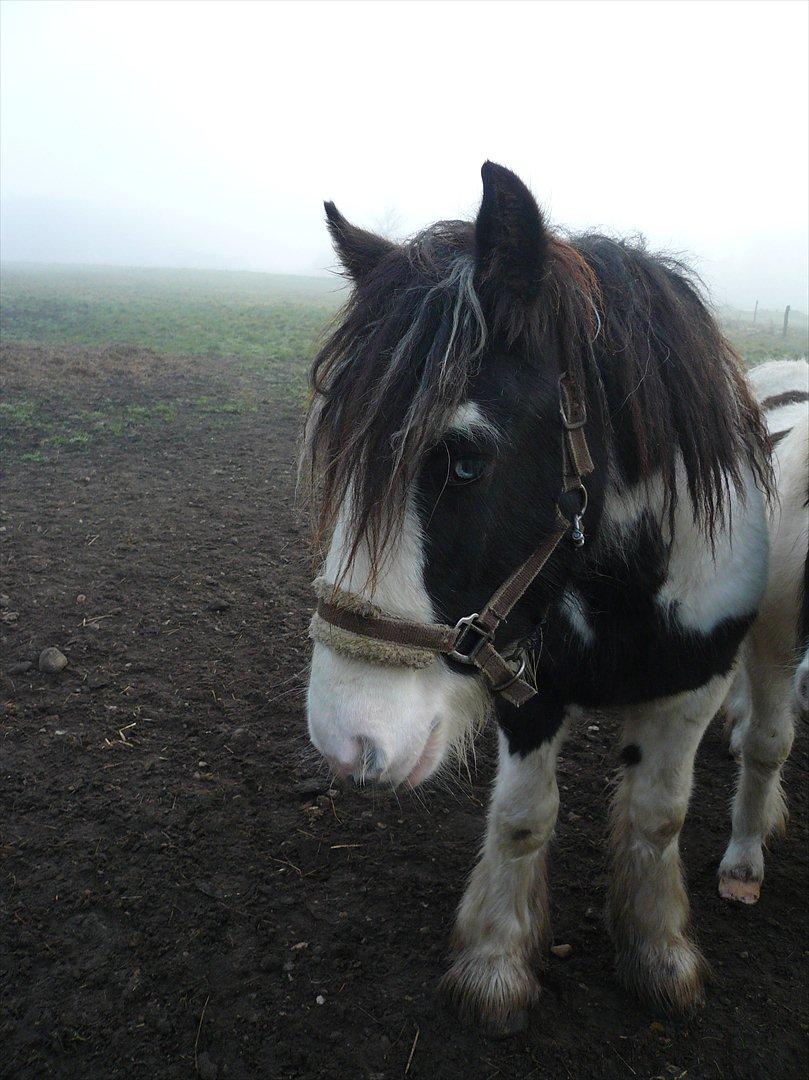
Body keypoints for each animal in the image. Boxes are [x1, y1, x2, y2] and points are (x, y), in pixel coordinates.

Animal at [302, 159, 803, 1028]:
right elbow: (521, 820)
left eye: (465, 460)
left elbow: (657, 817)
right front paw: (496, 964)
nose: (346, 739)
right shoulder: (523, 686)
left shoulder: (693, 686)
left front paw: (657, 952)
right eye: (343, 457)